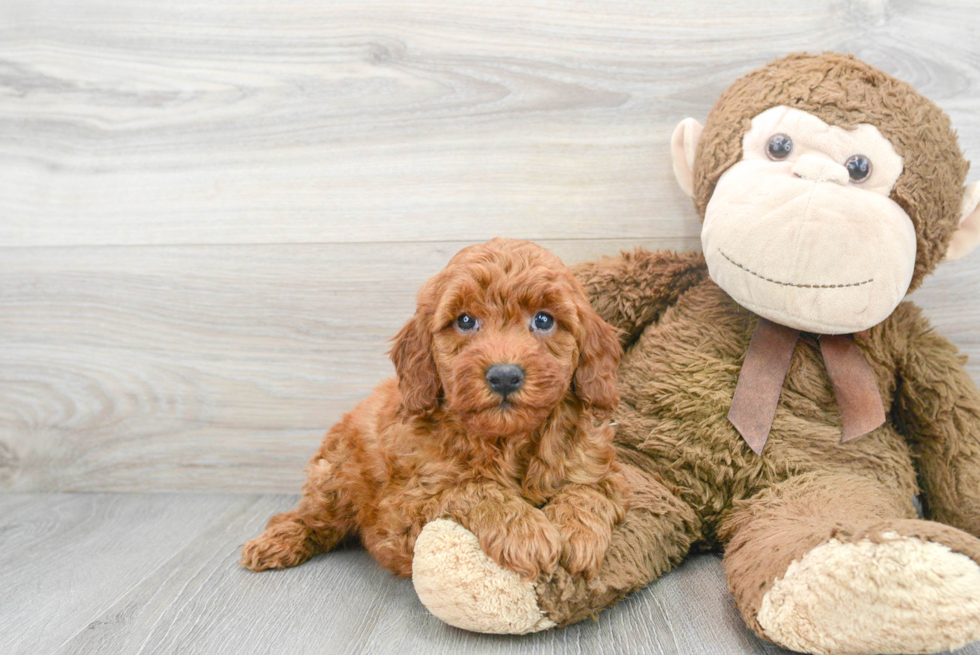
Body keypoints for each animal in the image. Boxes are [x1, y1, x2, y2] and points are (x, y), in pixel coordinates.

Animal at [244, 238, 628, 580]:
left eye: (544, 320)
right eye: (466, 321)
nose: (504, 376)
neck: (508, 440)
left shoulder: (605, 469)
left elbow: (589, 489)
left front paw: (578, 534)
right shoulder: (403, 510)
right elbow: (470, 490)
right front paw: (525, 533)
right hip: (334, 478)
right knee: (309, 516)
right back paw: (276, 542)